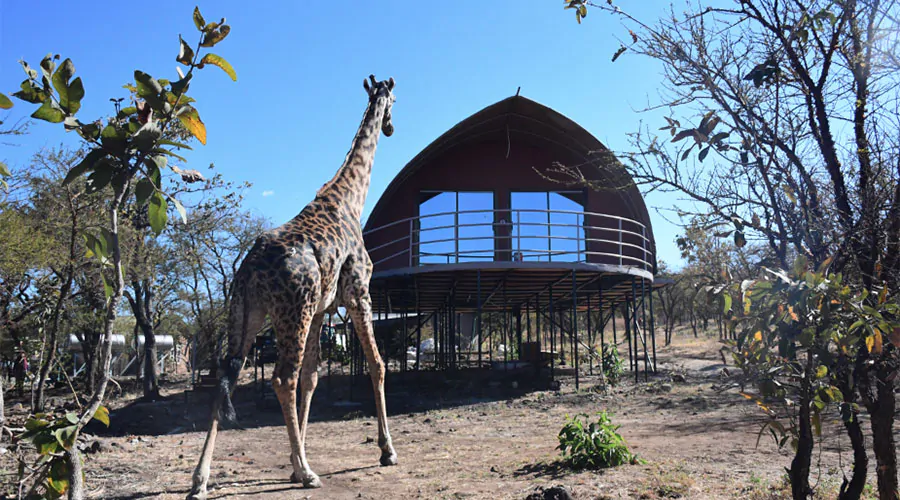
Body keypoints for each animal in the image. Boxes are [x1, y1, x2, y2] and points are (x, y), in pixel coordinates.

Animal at [188, 75, 400, 500]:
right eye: (396, 101)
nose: (390, 127)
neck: (350, 198)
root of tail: (249, 268)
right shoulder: (359, 294)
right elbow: (376, 364)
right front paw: (387, 451)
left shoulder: (321, 310)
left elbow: (312, 377)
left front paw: (293, 457)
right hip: (291, 311)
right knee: (280, 378)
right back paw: (307, 473)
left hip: (247, 314)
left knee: (226, 376)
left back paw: (200, 480)